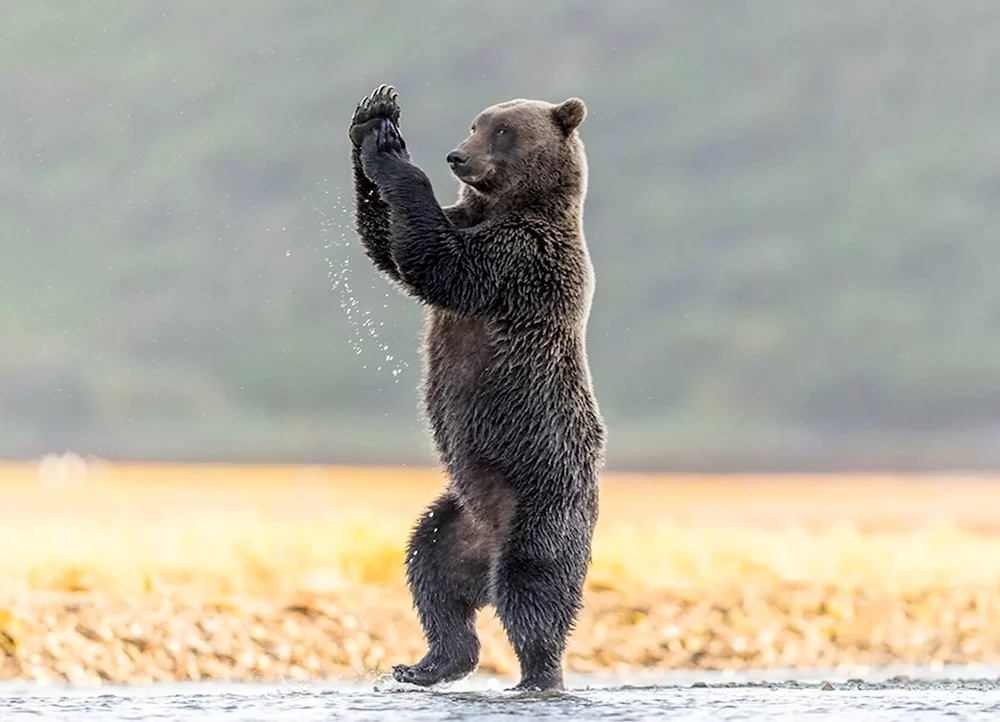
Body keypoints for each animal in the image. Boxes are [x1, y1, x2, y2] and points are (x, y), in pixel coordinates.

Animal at [348, 84, 604, 692]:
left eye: (503, 131)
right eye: (475, 123)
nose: (457, 157)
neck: (507, 207)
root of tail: (485, 545)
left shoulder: (520, 259)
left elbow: (438, 263)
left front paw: (393, 153)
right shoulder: (470, 220)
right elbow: (391, 246)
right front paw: (373, 118)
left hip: (542, 497)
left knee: (533, 589)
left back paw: (538, 674)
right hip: (453, 517)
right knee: (430, 573)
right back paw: (428, 663)